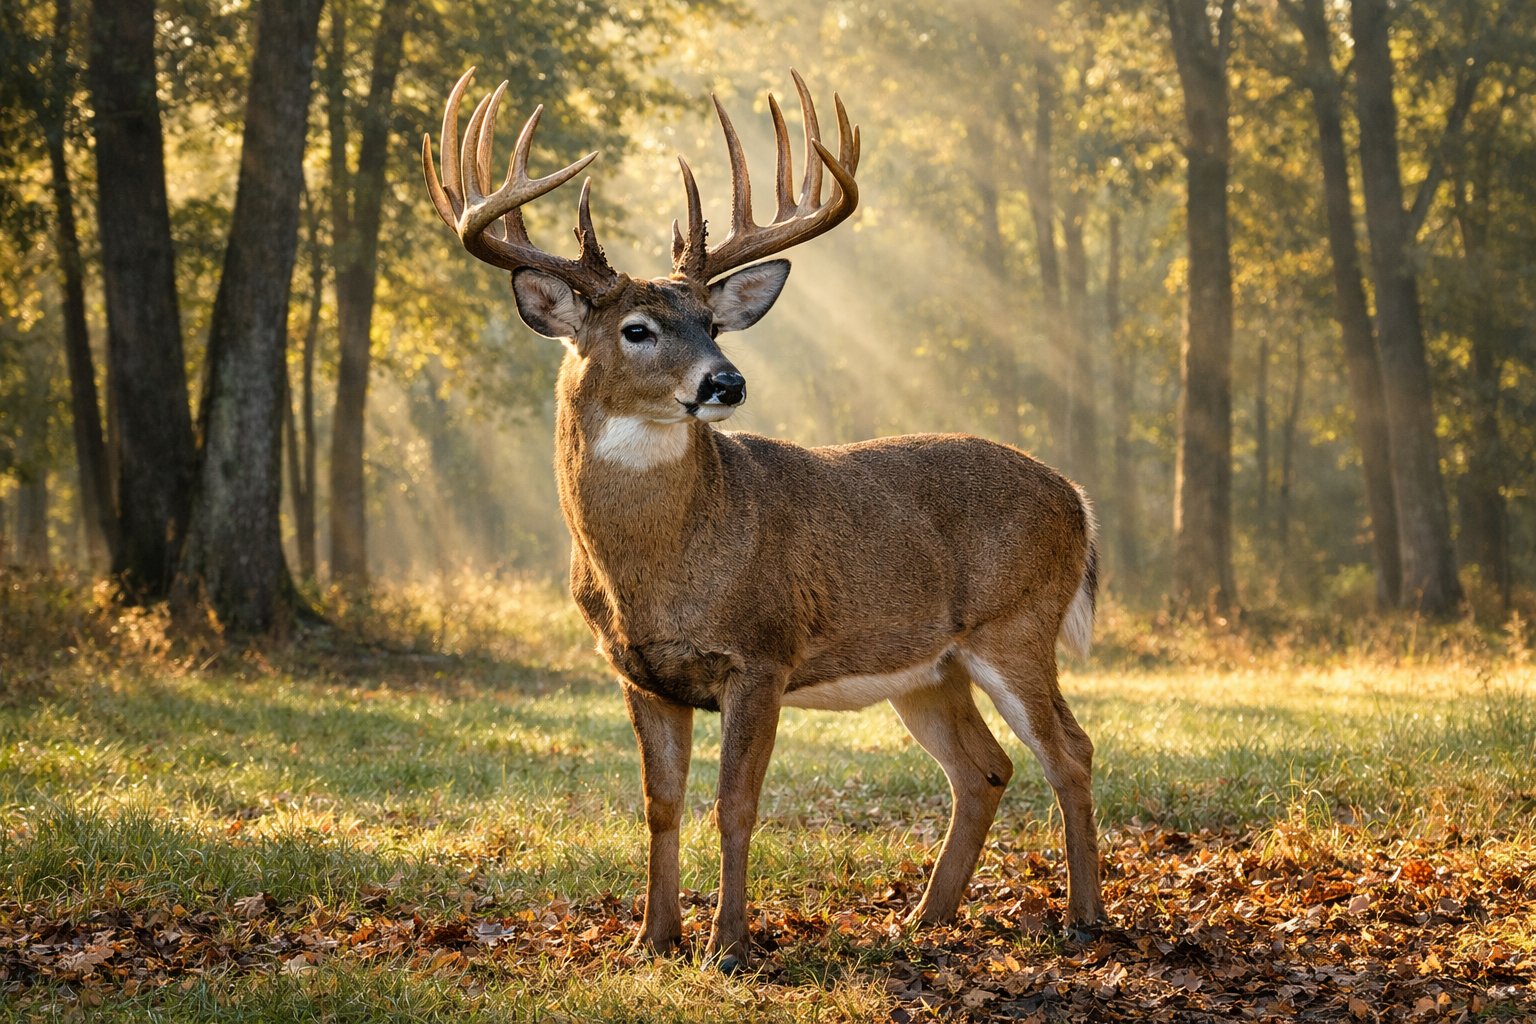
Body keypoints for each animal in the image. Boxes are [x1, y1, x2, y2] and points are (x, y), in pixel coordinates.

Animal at [424, 68, 1106, 969]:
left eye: (712, 323)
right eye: (637, 329)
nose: (726, 380)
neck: (658, 571)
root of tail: (1078, 498)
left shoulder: (762, 652)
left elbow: (734, 805)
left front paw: (729, 945)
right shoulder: (638, 672)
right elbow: (661, 806)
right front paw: (652, 939)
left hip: (1017, 622)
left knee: (1070, 750)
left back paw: (1084, 919)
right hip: (930, 666)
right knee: (984, 767)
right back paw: (923, 920)